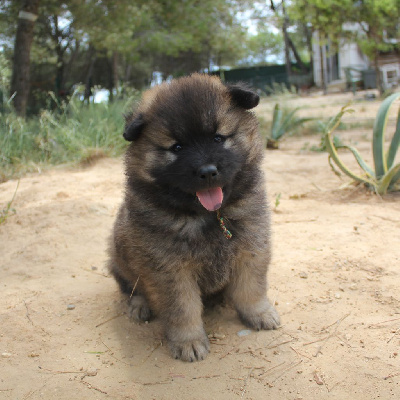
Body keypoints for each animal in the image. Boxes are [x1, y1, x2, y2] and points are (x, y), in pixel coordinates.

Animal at [108, 73, 280, 360]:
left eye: (218, 138)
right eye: (177, 147)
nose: (207, 171)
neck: (208, 217)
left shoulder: (251, 247)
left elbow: (251, 288)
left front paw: (260, 313)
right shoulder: (170, 269)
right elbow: (182, 308)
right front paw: (188, 341)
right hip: (119, 257)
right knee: (131, 287)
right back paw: (140, 305)